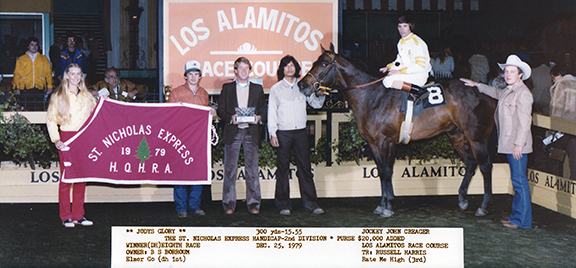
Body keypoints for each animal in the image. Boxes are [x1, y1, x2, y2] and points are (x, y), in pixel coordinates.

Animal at [300, 43, 498, 217]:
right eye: (315, 61)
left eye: (324, 64)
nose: (302, 85)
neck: (372, 96)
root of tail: (487, 93)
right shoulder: (373, 143)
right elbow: (381, 171)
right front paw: (381, 205)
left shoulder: (386, 141)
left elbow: (388, 171)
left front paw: (388, 206)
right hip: (456, 135)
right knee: (471, 163)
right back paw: (462, 199)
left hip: (477, 137)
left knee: (485, 166)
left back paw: (483, 206)